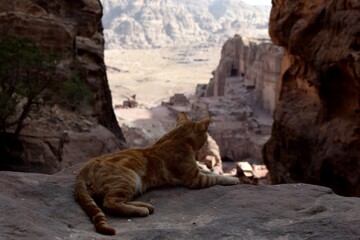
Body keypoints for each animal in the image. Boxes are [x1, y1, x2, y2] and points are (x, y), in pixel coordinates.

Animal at [74, 112, 239, 234]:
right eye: (206, 136)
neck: (176, 137)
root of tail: (83, 170)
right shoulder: (195, 179)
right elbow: (215, 178)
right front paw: (232, 180)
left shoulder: (197, 172)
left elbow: (211, 172)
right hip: (129, 178)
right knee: (109, 202)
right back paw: (141, 210)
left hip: (133, 184)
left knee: (116, 200)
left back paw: (145, 205)